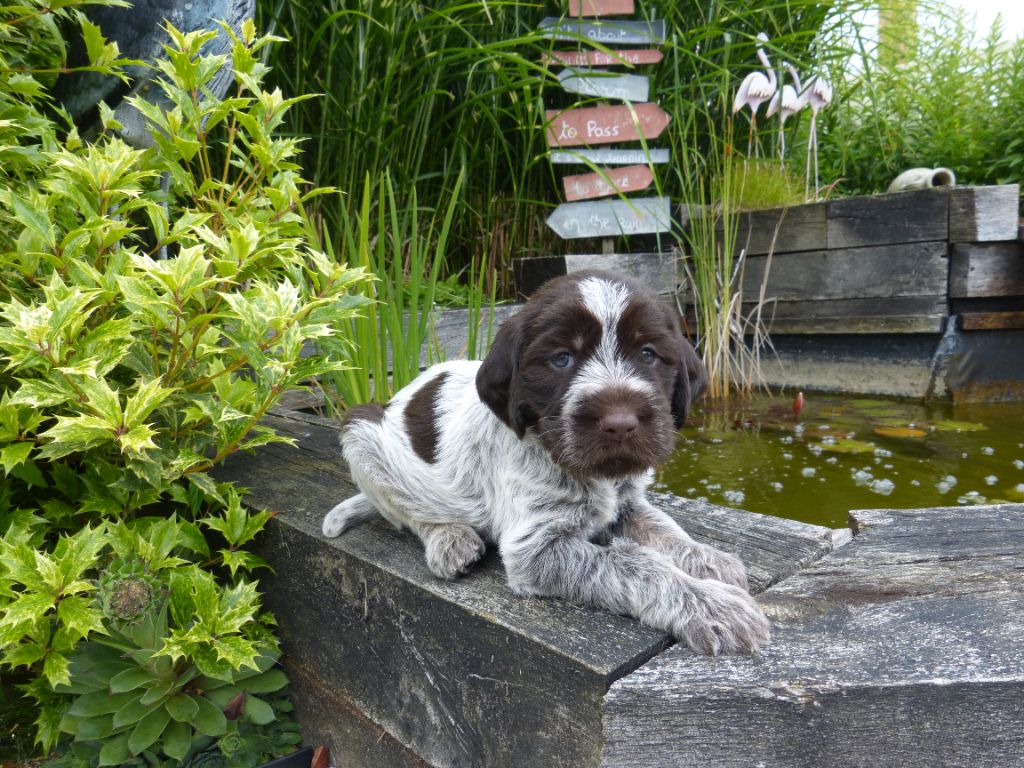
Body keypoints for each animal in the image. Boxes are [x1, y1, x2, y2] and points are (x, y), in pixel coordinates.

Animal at [325, 270, 770, 655]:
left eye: (648, 354)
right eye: (561, 359)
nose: (621, 423)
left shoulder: (626, 501)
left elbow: (662, 527)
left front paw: (707, 558)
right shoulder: (535, 550)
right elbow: (635, 562)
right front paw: (710, 604)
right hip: (361, 429)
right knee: (406, 512)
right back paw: (449, 538)